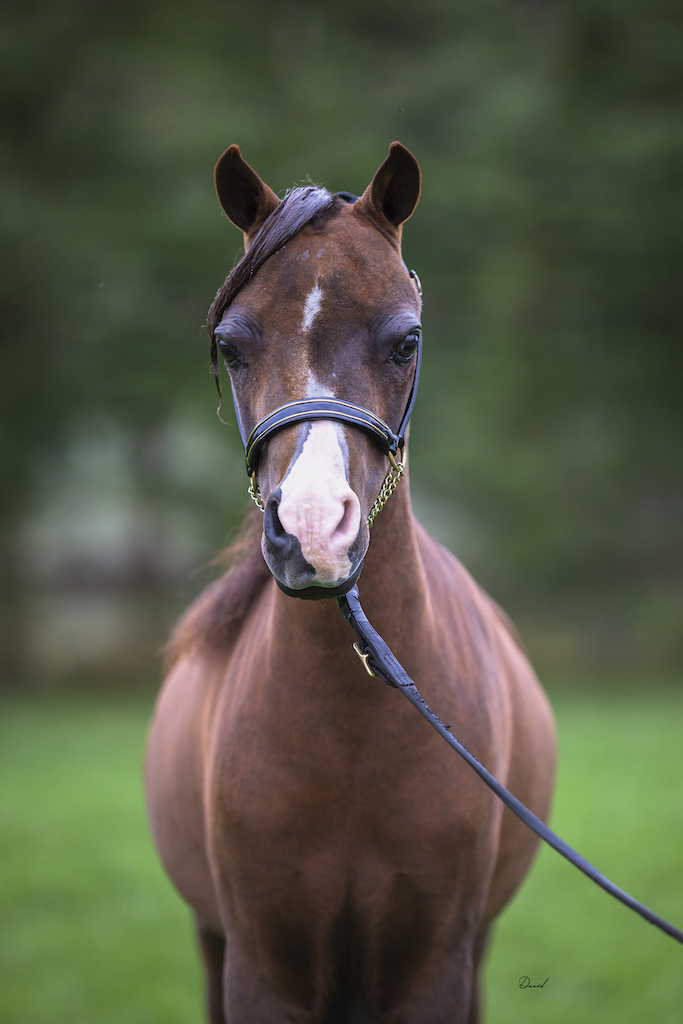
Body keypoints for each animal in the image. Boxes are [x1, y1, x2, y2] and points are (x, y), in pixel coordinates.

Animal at [145, 142, 557, 1023]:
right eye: (231, 346)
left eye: (405, 342)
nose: (311, 531)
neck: (349, 736)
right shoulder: (261, 965)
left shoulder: (433, 964)